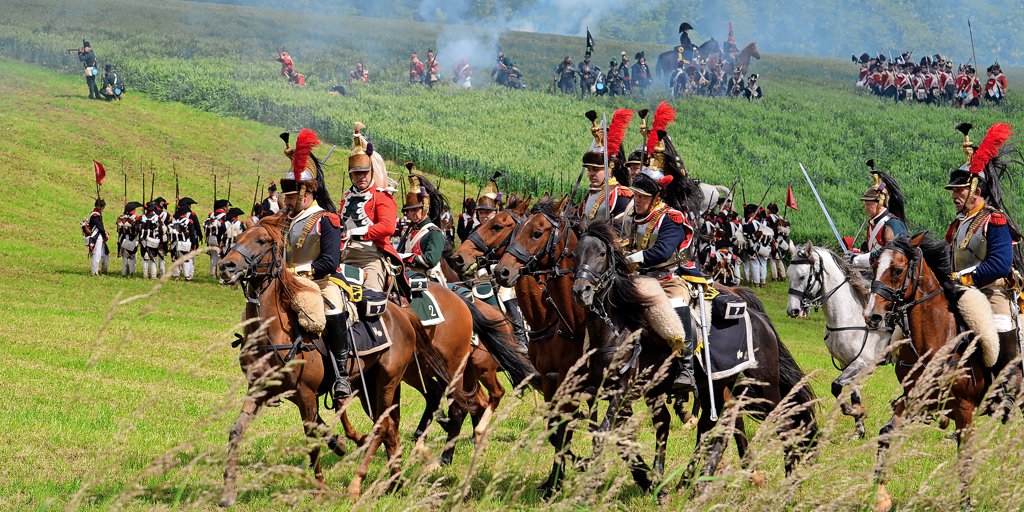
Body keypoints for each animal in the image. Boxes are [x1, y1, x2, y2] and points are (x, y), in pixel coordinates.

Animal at [569, 220, 819, 491]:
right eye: (575, 253)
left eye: (602, 254)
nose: (581, 291)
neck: (619, 327)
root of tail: (759, 319)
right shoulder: (613, 393)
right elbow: (624, 433)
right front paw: (651, 479)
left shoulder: (624, 392)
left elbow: (604, 434)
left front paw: (592, 480)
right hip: (717, 385)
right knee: (714, 426)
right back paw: (693, 483)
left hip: (763, 385)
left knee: (784, 421)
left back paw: (789, 481)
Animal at [787, 243, 890, 439]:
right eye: (788, 274)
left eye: (803, 276)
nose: (793, 311)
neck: (851, 316)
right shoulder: (847, 363)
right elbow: (853, 393)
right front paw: (859, 429)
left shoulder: (862, 363)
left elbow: (836, 386)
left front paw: (856, 411)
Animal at [865, 234, 1001, 511]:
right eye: (873, 266)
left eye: (897, 270)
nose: (872, 316)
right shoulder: (912, 400)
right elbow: (886, 435)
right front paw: (880, 496)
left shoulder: (964, 409)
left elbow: (964, 455)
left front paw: (966, 503)